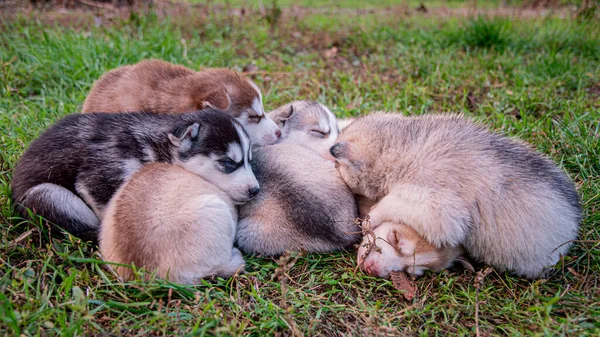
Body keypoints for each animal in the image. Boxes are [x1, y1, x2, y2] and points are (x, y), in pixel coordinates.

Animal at [11, 109, 255, 240]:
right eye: (228, 163)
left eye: (249, 160)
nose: (255, 190)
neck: (154, 147)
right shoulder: (98, 177)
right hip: (49, 196)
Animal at [330, 111, 584, 276]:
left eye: (397, 240)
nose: (332, 153)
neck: (408, 148)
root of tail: (574, 221)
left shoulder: (440, 209)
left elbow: (392, 202)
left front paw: (369, 219)